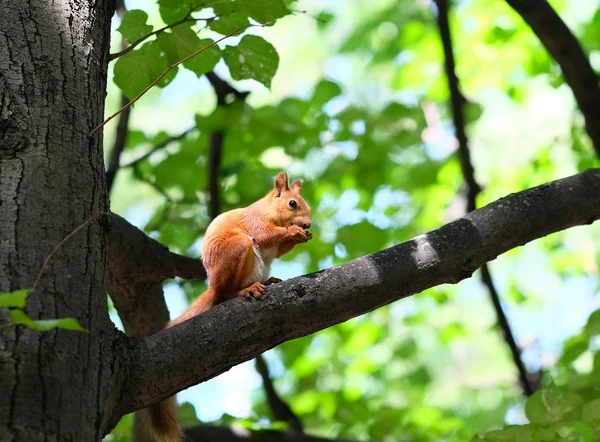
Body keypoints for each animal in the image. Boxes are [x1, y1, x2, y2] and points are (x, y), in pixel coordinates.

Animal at [141, 172, 314, 442]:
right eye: (292, 203)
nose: (307, 224)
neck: (267, 210)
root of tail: (214, 285)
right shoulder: (255, 224)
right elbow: (266, 235)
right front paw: (293, 231)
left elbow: (280, 250)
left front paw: (301, 236)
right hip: (238, 248)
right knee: (225, 294)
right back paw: (244, 291)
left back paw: (267, 281)